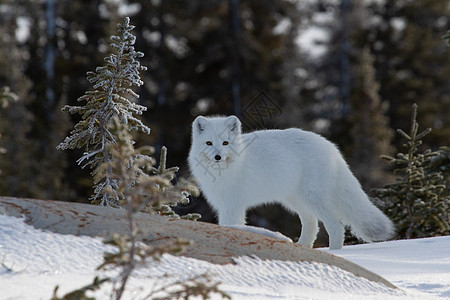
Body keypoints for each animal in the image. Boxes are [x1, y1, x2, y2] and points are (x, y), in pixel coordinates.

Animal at [188, 116, 396, 250]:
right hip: (295, 201)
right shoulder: (227, 205)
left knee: (336, 226)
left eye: (225, 143)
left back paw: (334, 253)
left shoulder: (232, 205)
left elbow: (229, 226)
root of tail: (331, 147)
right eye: (208, 143)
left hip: (313, 199)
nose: (217, 157)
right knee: (312, 223)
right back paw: (303, 247)